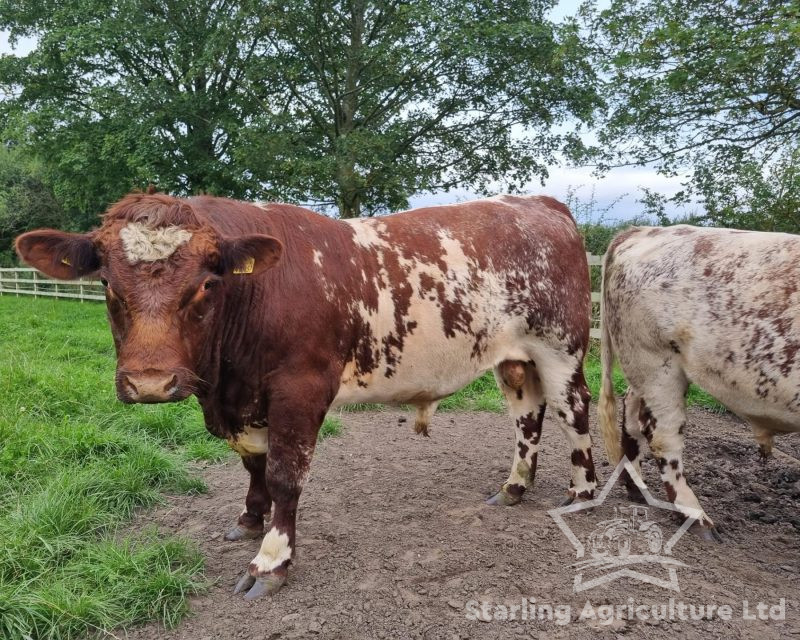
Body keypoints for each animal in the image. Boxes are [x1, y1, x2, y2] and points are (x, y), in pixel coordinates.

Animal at [15, 192, 596, 596]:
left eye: (206, 284)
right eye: (106, 284)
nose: (151, 383)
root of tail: (536, 203)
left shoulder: (301, 389)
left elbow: (284, 475)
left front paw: (271, 560)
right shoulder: (243, 401)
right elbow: (253, 464)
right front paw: (249, 520)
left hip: (560, 348)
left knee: (574, 413)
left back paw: (584, 493)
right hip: (514, 358)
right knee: (527, 416)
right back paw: (515, 486)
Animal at [596, 225, 800, 540]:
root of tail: (643, 230)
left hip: (643, 368)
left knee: (631, 415)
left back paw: (638, 489)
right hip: (658, 365)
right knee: (663, 437)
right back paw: (695, 516)